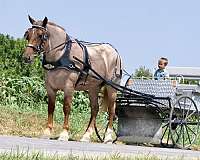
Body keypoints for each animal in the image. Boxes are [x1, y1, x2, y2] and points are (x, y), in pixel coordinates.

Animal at [21, 15, 122, 144]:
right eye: (28, 35)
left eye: (40, 35)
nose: (26, 57)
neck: (62, 54)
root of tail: (115, 52)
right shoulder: (50, 87)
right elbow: (51, 108)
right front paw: (47, 132)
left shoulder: (69, 87)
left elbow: (66, 108)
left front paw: (64, 134)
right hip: (93, 89)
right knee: (95, 109)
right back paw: (86, 136)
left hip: (112, 87)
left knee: (111, 110)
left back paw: (108, 137)